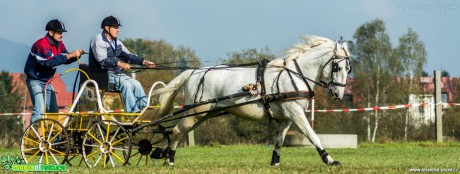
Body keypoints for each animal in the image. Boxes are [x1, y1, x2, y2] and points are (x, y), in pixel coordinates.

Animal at [153, 35, 350, 166]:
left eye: (348, 69)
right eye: (338, 67)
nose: (338, 94)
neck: (295, 75)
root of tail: (193, 72)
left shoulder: (287, 117)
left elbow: (279, 140)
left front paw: (274, 163)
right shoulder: (295, 113)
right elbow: (312, 135)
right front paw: (330, 160)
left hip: (204, 114)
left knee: (178, 131)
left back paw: (165, 155)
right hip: (195, 112)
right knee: (177, 131)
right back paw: (169, 160)